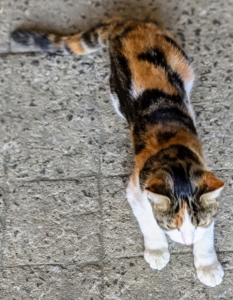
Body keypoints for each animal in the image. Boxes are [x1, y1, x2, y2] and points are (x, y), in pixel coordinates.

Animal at [10, 17, 224, 288]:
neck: (175, 157)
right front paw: (157, 251)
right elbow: (148, 222)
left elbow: (207, 233)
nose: (187, 241)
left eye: (197, 223)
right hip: (115, 88)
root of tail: (128, 25)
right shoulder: (136, 190)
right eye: (172, 226)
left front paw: (208, 265)